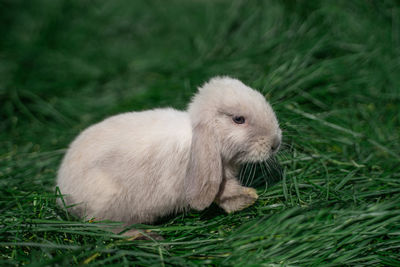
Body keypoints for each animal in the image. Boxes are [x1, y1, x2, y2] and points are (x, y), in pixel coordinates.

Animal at [56, 76, 282, 237]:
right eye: (238, 119)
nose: (275, 143)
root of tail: (63, 191)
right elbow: (223, 191)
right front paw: (251, 197)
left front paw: (247, 199)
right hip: (107, 199)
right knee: (104, 227)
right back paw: (142, 234)